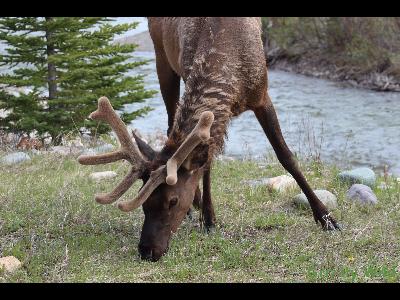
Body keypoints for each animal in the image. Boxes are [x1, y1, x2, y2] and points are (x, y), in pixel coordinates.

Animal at [77, 16, 338, 262]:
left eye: (172, 201)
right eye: (144, 203)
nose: (146, 251)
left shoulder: (262, 95)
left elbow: (286, 157)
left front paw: (326, 218)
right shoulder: (187, 73)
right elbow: (207, 165)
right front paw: (209, 218)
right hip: (162, 56)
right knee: (171, 124)